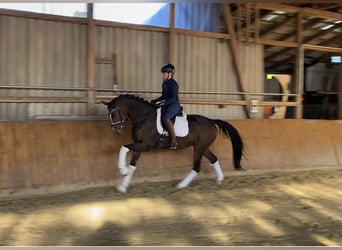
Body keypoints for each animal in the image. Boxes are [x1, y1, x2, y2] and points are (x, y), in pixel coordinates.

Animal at [100, 94, 244, 193]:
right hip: (202, 147)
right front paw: (123, 186)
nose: (117, 132)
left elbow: (123, 147)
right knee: (213, 159)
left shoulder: (145, 145)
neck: (144, 117)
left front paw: (122, 170)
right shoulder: (139, 145)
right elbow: (132, 165)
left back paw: (181, 185)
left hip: (199, 148)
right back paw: (219, 179)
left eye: (114, 114)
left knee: (196, 167)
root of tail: (211, 121)